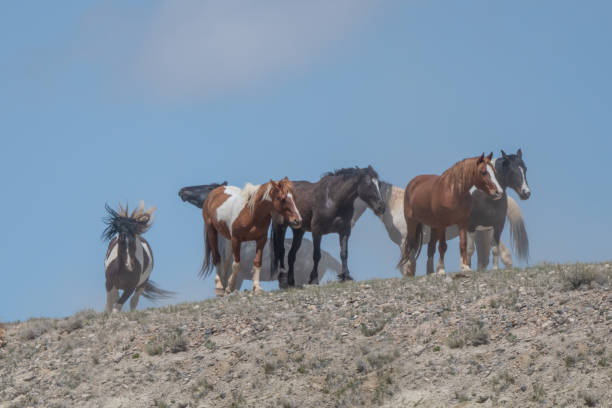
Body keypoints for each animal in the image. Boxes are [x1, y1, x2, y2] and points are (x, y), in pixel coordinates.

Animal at [354, 148, 532, 272]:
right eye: (513, 170)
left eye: (525, 169)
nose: (526, 192)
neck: (395, 205)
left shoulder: (404, 241)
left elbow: (408, 267)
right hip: (484, 232)